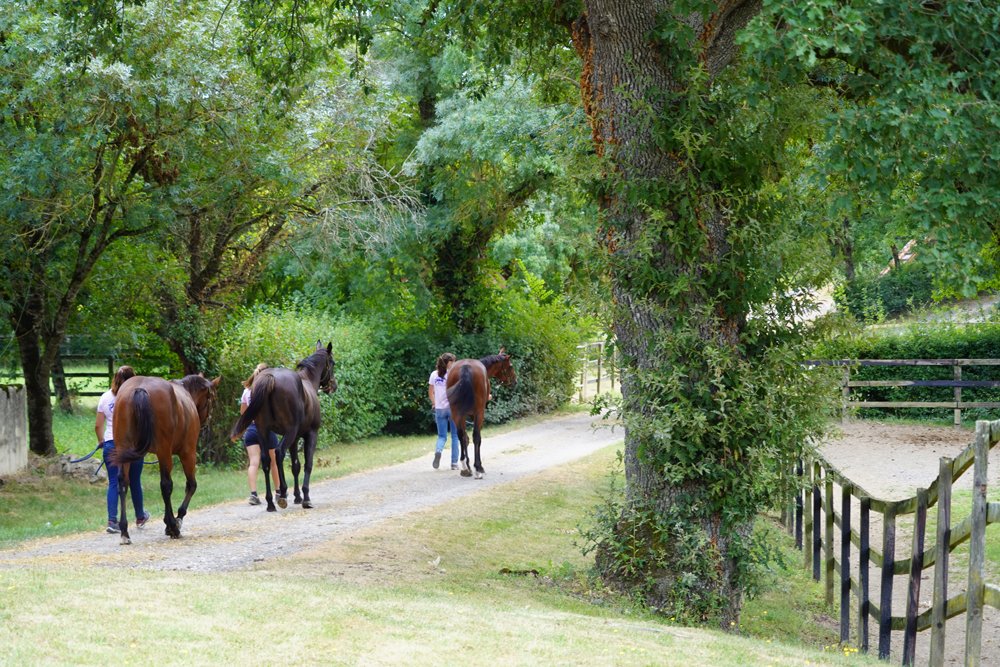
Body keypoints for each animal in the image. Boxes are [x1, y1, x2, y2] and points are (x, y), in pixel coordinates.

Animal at [112, 373, 220, 545]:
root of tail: (139, 388)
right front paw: (176, 520)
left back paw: (124, 531)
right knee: (166, 485)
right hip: (164, 451)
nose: (207, 421)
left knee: (123, 483)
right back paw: (173, 527)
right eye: (212, 397)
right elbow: (191, 485)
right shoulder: (188, 453)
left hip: (124, 449)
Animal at [230, 341, 336, 511]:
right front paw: (305, 498)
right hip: (289, 432)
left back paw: (270, 502)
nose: (333, 385)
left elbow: (295, 466)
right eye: (332, 363)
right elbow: (307, 464)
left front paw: (298, 496)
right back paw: (282, 494)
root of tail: (270, 377)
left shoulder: (294, 439)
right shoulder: (310, 434)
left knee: (266, 461)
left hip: (263, 431)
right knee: (279, 453)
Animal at [446, 349, 516, 479]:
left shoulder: (462, 415)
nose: (515, 381)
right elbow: (477, 438)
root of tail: (465, 367)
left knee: (461, 436)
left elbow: (465, 438)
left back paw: (465, 467)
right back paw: (478, 469)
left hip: (456, 414)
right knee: (475, 437)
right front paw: (478, 467)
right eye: (510, 366)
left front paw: (468, 466)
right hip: (479, 413)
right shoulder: (477, 414)